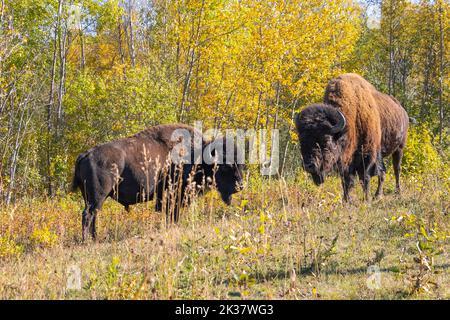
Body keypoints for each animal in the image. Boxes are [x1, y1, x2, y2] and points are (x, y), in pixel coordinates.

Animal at [72, 124, 244, 241]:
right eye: (225, 165)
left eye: (240, 164)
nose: (240, 186)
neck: (197, 154)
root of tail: (85, 154)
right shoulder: (173, 195)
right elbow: (172, 214)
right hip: (97, 197)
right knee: (88, 215)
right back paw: (88, 241)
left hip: (91, 198)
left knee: (93, 215)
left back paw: (95, 238)